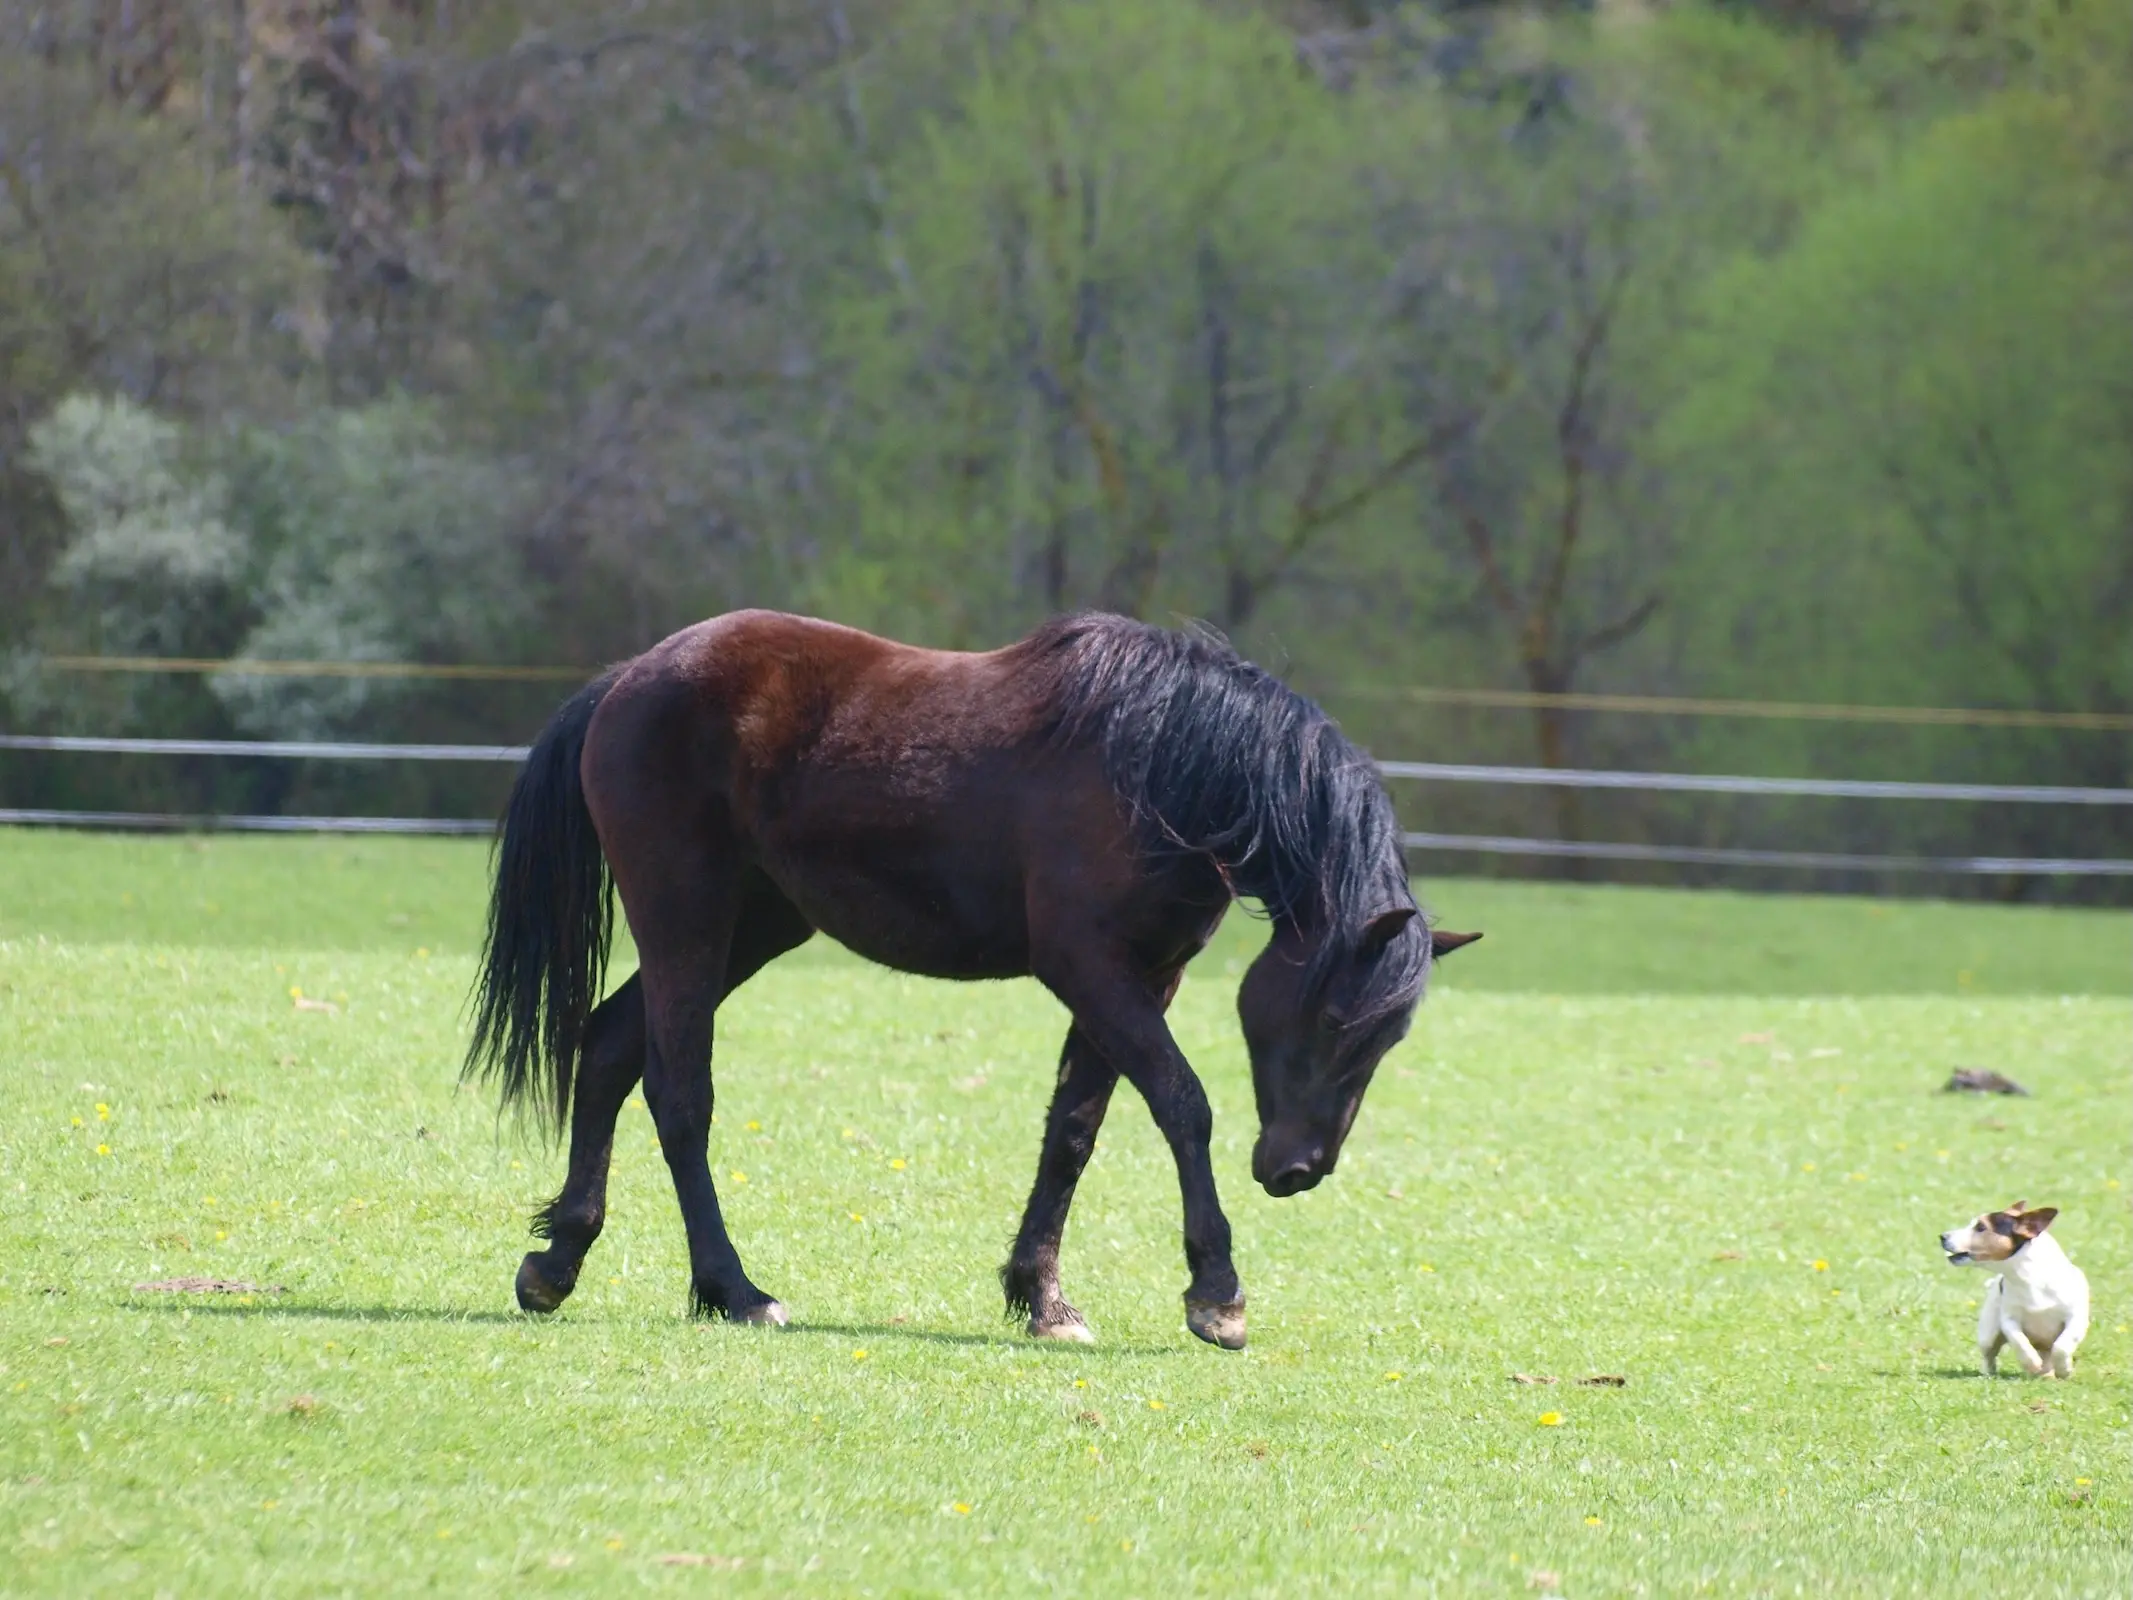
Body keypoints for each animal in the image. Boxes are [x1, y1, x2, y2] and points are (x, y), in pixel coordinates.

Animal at [464, 610, 1478, 1350]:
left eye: (1385, 1041)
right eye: (1334, 1020)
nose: (1299, 1169)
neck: (1163, 766)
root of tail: (628, 677)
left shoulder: (1144, 980)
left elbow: (1073, 1134)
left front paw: (1043, 1298)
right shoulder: (1088, 969)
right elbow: (1182, 1104)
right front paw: (1215, 1293)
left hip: (752, 927)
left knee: (606, 1048)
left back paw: (557, 1261)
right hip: (687, 920)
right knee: (679, 1096)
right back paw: (733, 1288)